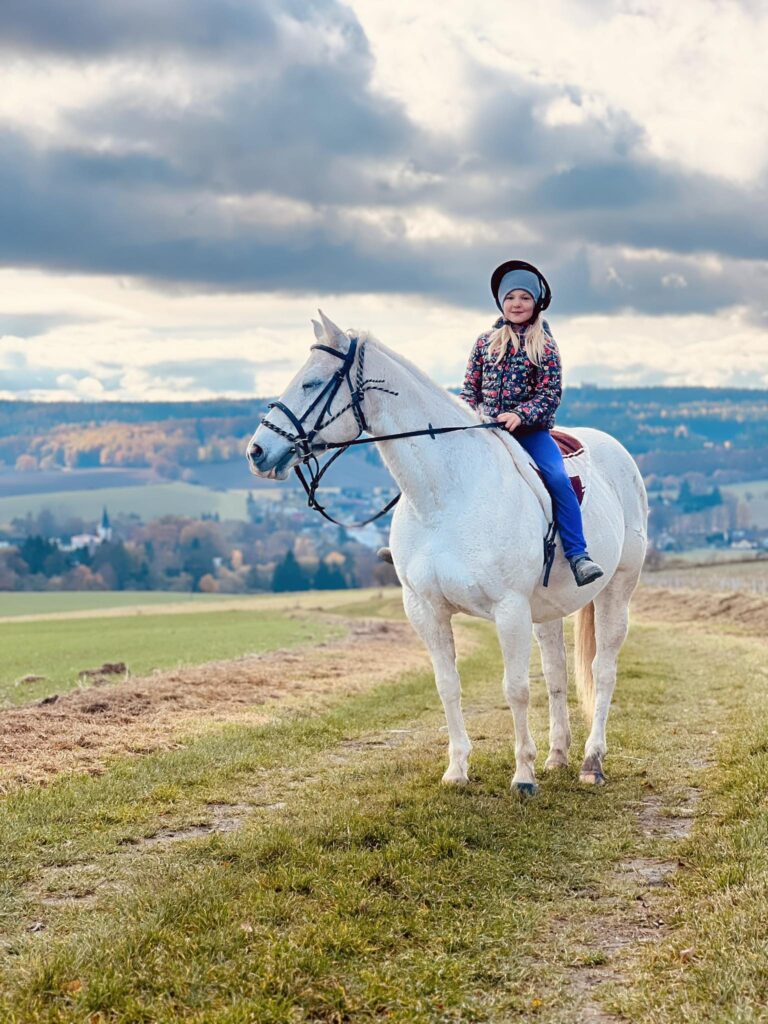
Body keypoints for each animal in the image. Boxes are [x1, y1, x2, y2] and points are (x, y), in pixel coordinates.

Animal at [247, 315, 651, 794]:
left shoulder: (509, 609)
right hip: (547, 610)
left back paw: (592, 761)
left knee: (603, 669)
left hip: (617, 590)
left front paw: (523, 776)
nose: (256, 452)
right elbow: (447, 686)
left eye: (311, 382)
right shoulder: (426, 609)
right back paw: (557, 757)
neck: (446, 496)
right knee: (556, 675)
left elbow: (516, 689)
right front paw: (457, 770)